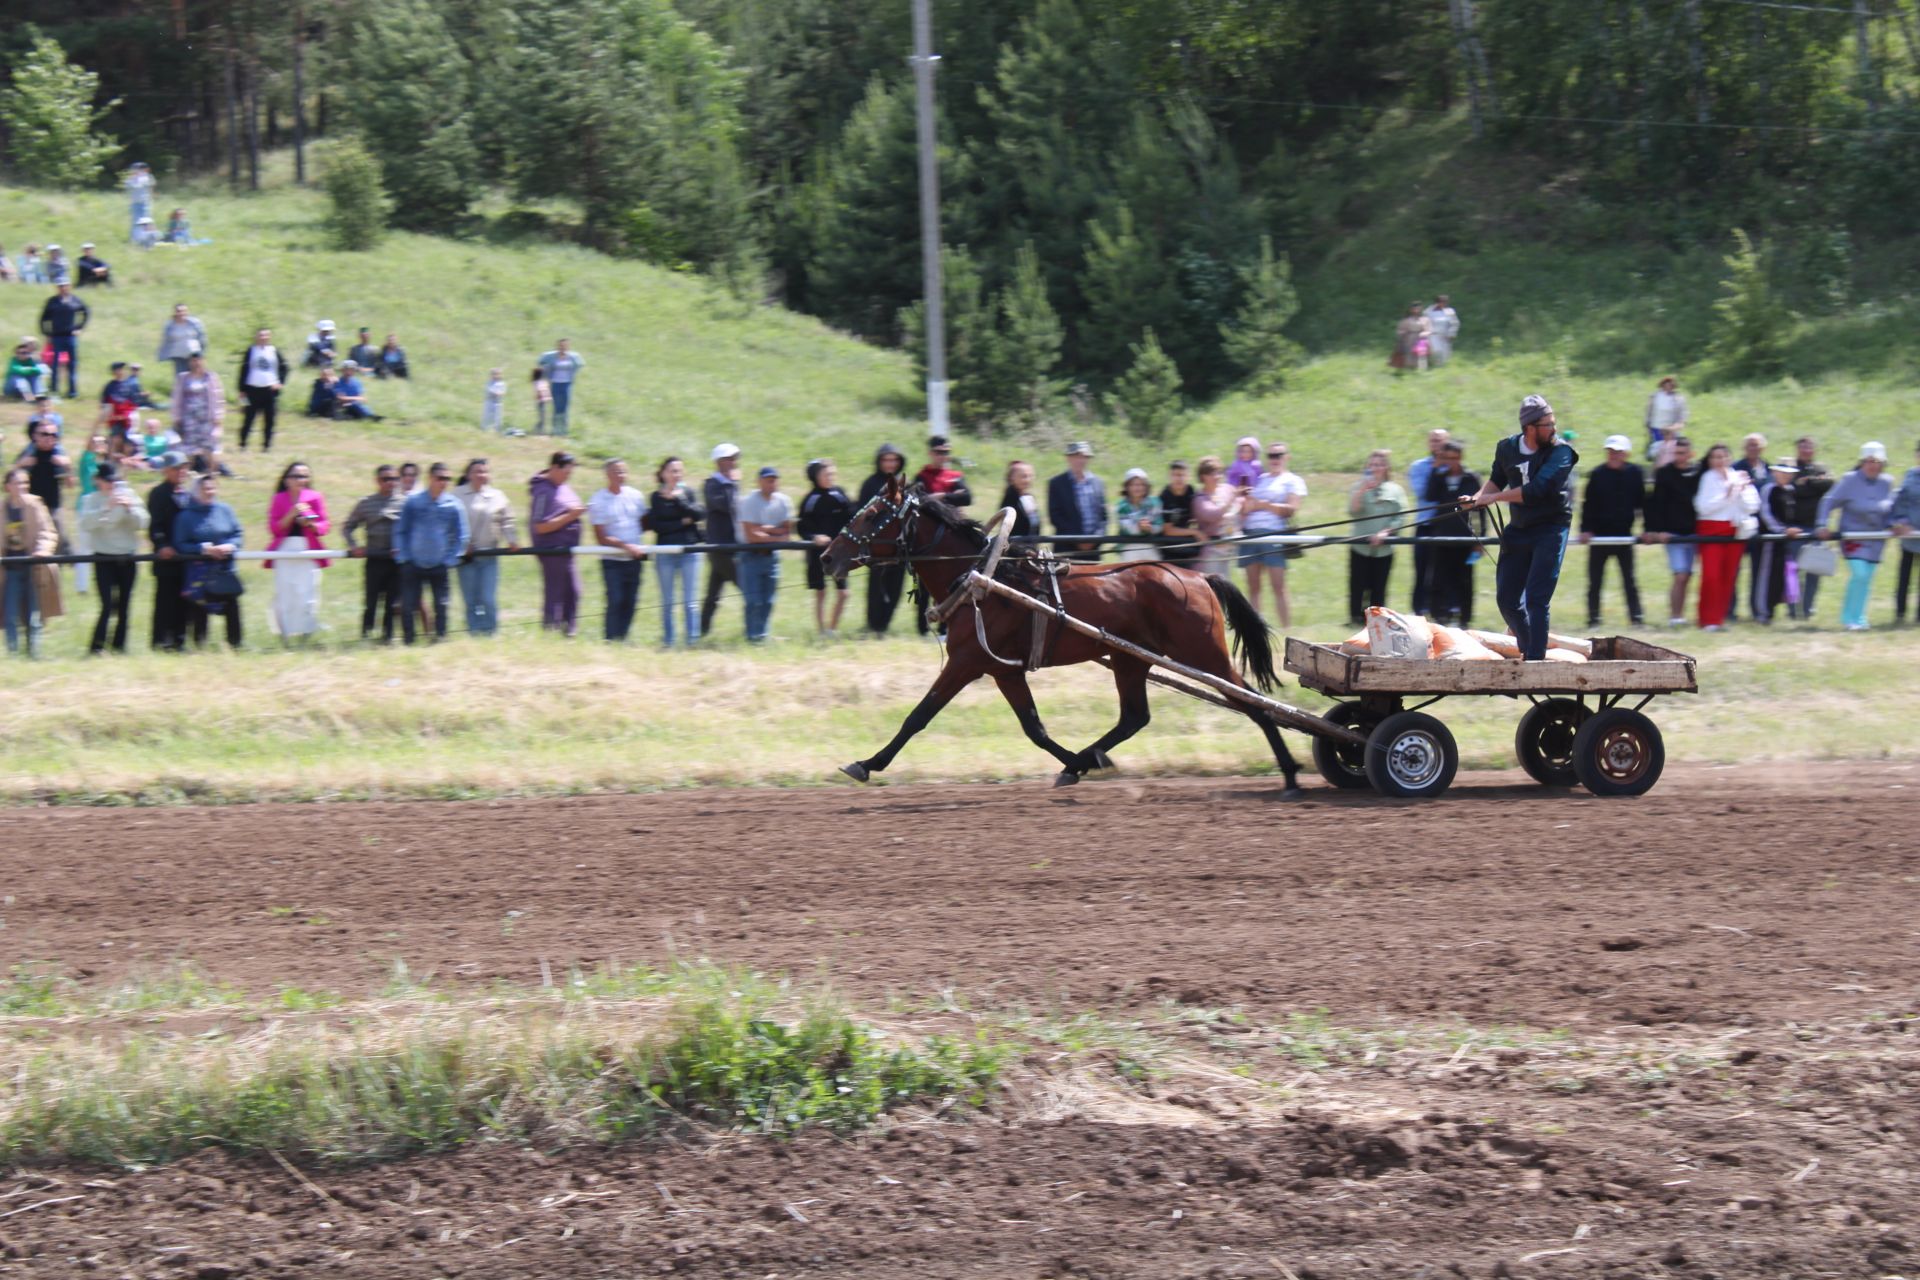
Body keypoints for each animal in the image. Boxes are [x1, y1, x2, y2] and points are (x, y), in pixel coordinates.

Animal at [814, 483, 1305, 790]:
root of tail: (1198, 576)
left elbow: (918, 716)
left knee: (1252, 703)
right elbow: (1035, 728)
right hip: (1130, 658)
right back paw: (1091, 756)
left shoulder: (967, 662)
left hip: (1203, 653)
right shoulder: (1003, 671)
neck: (984, 578)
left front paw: (867, 763)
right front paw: (1075, 763)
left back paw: (1289, 774)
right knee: (1134, 717)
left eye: (874, 514)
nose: (826, 557)